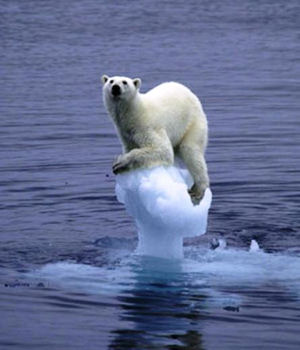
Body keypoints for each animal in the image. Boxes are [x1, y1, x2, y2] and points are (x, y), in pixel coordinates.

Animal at [101, 75, 209, 204]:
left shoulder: (148, 127)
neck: (134, 113)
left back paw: (197, 190)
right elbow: (131, 147)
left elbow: (162, 150)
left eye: (124, 82)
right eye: (111, 81)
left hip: (192, 123)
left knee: (191, 151)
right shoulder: (125, 133)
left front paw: (120, 163)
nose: (115, 87)